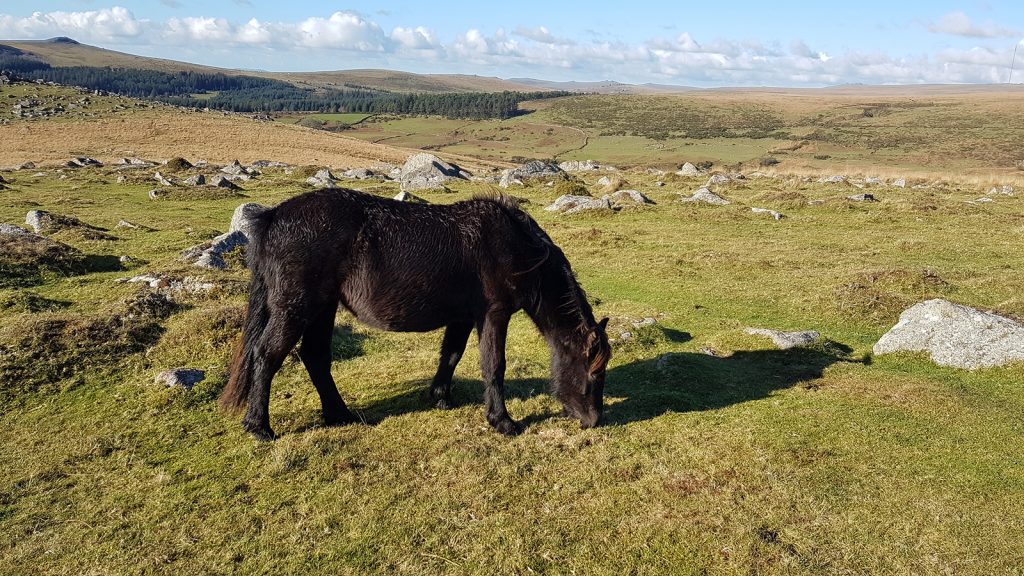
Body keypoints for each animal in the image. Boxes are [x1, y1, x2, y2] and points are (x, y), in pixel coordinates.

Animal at [221, 188, 610, 438]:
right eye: (593, 373)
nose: (592, 421)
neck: (516, 247)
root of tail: (272, 217)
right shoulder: (494, 314)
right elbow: (494, 366)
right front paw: (503, 422)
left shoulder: (463, 317)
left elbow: (451, 355)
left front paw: (440, 397)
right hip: (297, 307)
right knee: (267, 355)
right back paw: (259, 426)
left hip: (322, 307)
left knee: (315, 357)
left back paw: (340, 415)